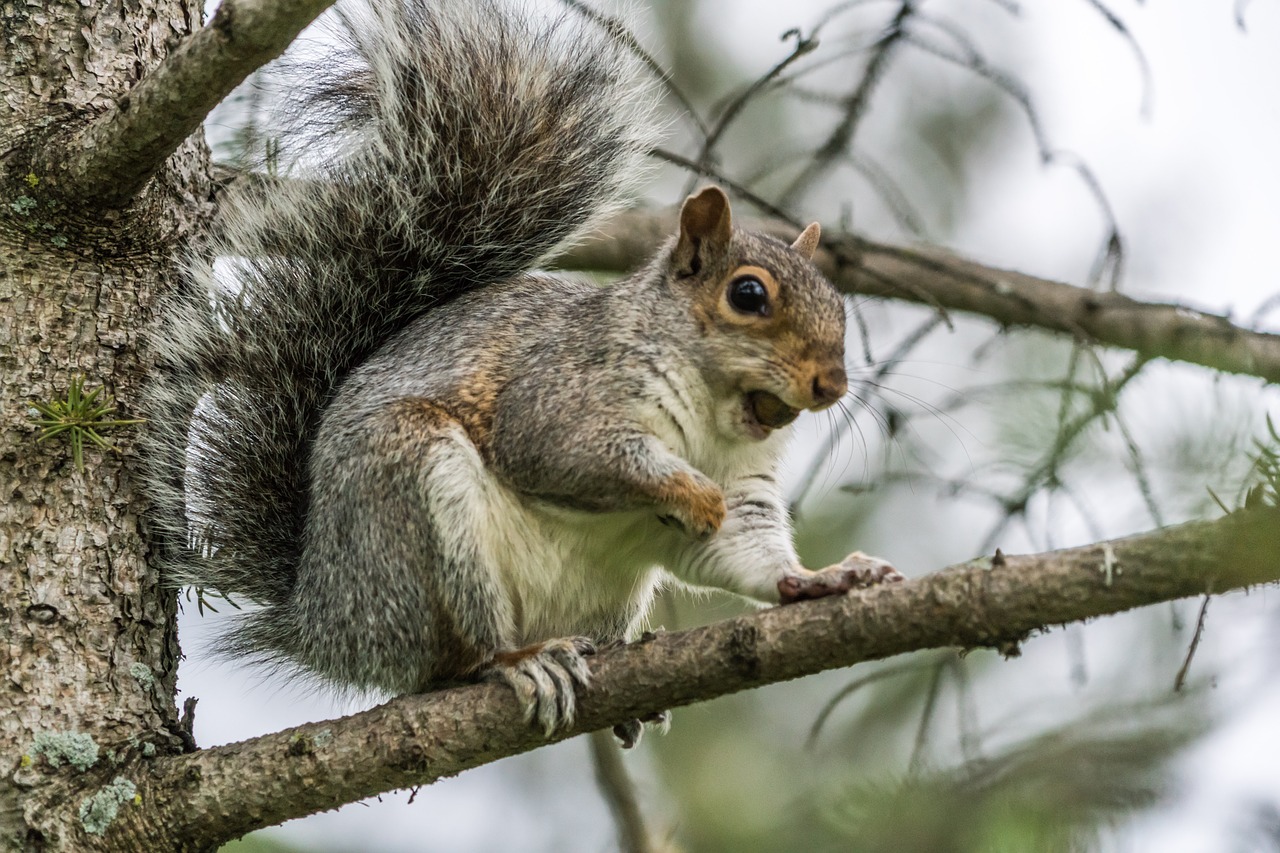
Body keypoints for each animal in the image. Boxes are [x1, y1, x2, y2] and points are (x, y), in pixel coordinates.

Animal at [142, 0, 901, 732]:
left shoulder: (748, 483)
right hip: (415, 496)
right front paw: (688, 492)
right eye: (748, 294)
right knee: (451, 661)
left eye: (837, 300)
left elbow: (742, 549)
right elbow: (567, 452)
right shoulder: (564, 389)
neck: (716, 414)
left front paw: (820, 580)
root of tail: (321, 618)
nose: (831, 384)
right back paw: (516, 660)